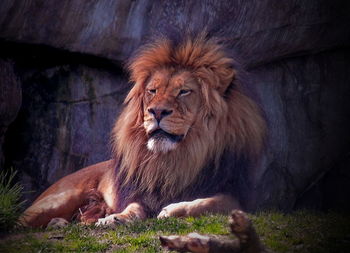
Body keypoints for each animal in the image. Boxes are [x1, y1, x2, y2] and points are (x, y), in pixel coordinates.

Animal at [19, 33, 266, 227]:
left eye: (184, 91)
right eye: (152, 90)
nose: (156, 111)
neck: (175, 159)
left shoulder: (239, 198)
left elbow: (210, 202)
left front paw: (172, 209)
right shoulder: (141, 193)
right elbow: (134, 206)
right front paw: (115, 218)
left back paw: (59, 224)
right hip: (59, 199)